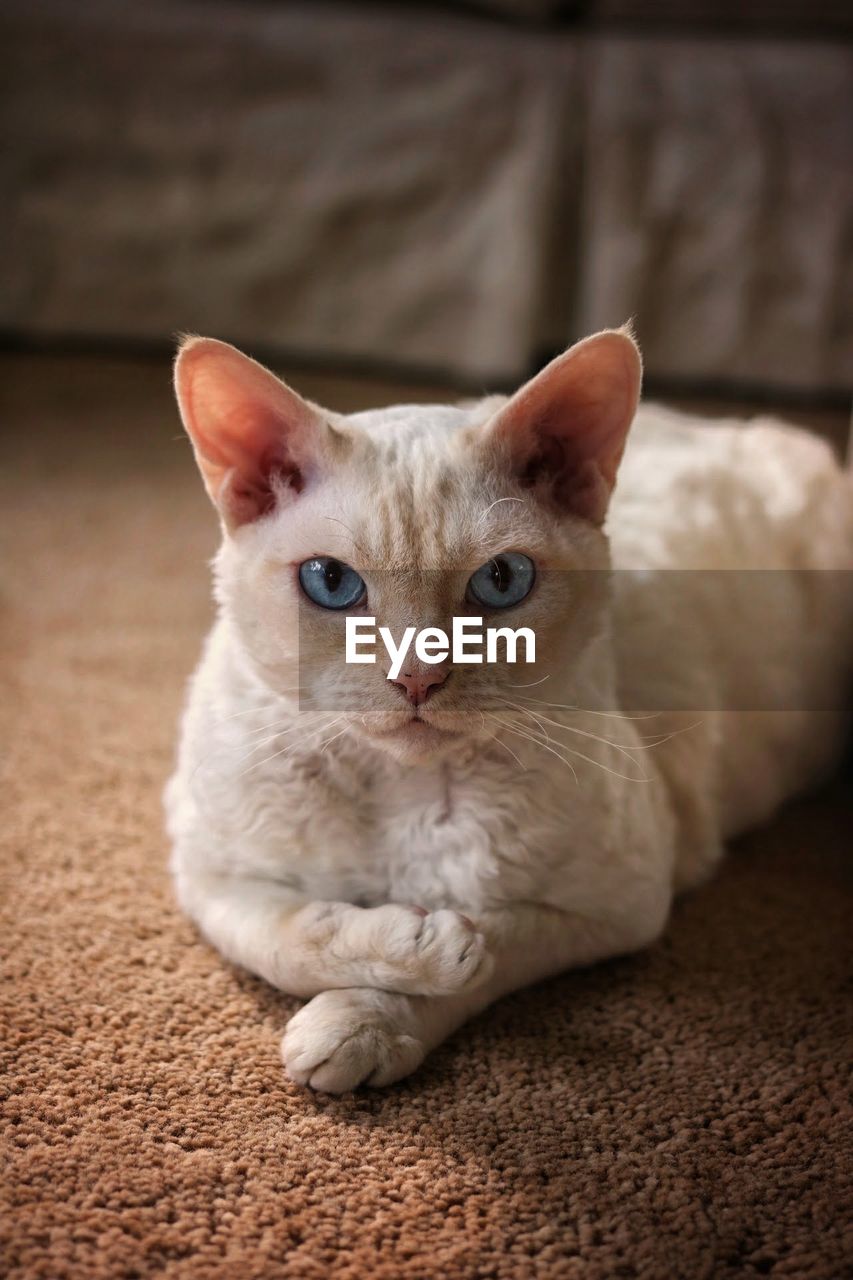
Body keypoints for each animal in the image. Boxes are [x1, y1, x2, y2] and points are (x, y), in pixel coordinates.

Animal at [161, 327, 850, 1090]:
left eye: (501, 580)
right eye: (331, 583)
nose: (418, 677)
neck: (399, 791)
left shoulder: (620, 904)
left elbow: (490, 944)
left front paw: (375, 1011)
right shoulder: (209, 875)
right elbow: (291, 939)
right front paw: (409, 949)